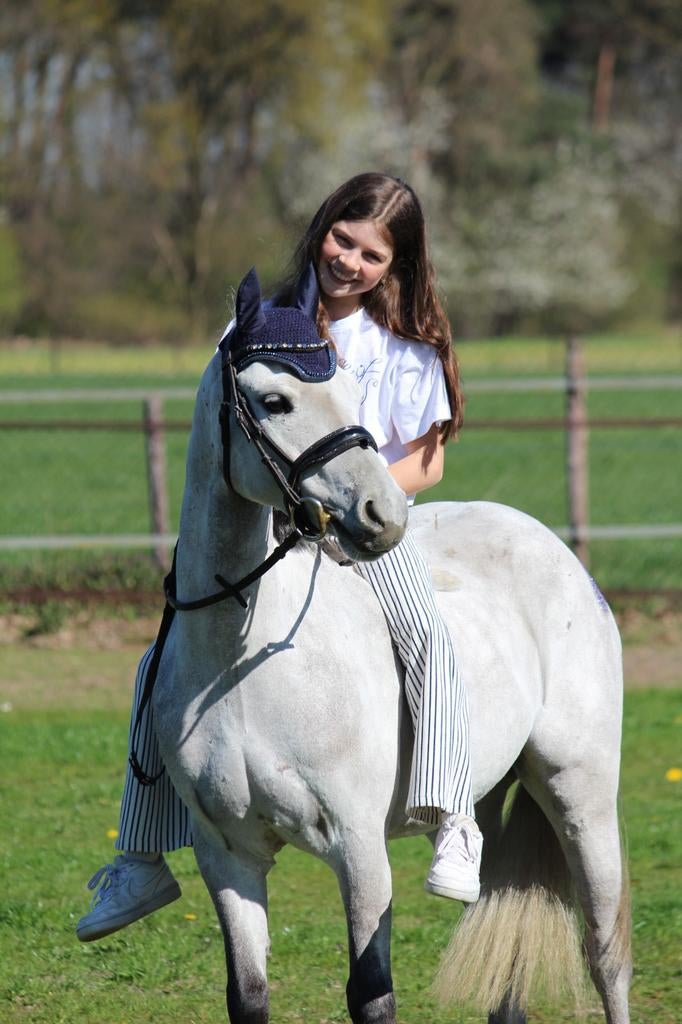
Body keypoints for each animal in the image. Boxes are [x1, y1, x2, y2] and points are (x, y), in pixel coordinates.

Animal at [150, 268, 631, 1024]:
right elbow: (248, 995)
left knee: (605, 951)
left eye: (354, 394)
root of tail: (555, 549)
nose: (383, 517)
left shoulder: (359, 849)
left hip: (579, 791)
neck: (243, 662)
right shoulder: (227, 856)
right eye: (275, 400)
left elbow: (372, 994)